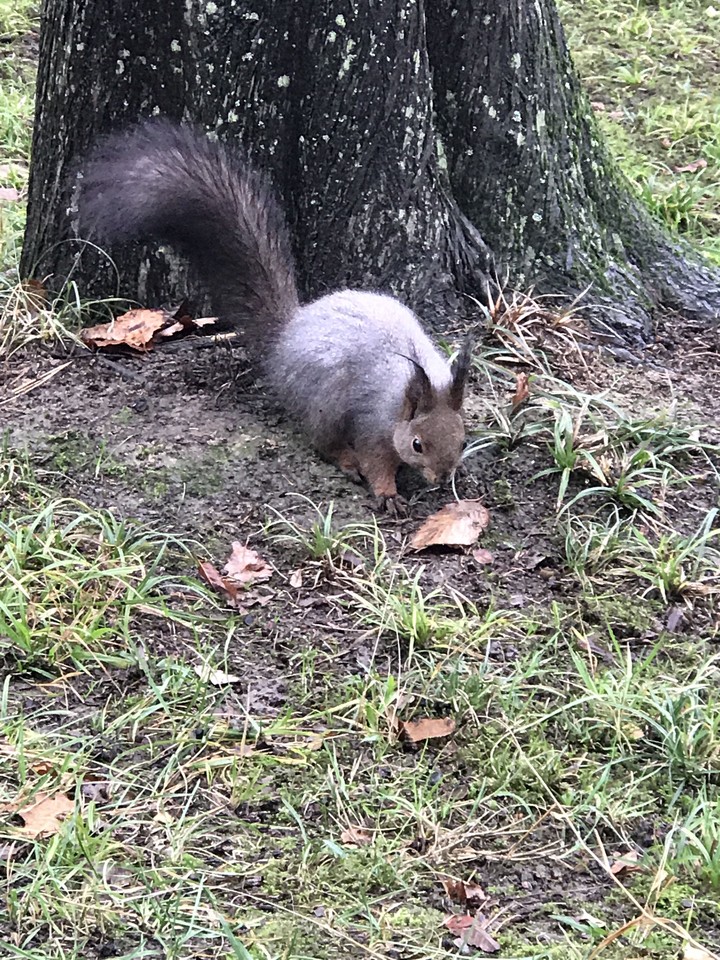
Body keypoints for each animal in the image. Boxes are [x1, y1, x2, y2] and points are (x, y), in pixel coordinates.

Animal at [76, 119, 472, 514]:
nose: (443, 477)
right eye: (417, 444)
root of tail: (289, 333)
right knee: (323, 440)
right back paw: (346, 461)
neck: (414, 388)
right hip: (323, 400)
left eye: (463, 439)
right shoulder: (372, 423)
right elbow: (375, 460)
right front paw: (387, 494)